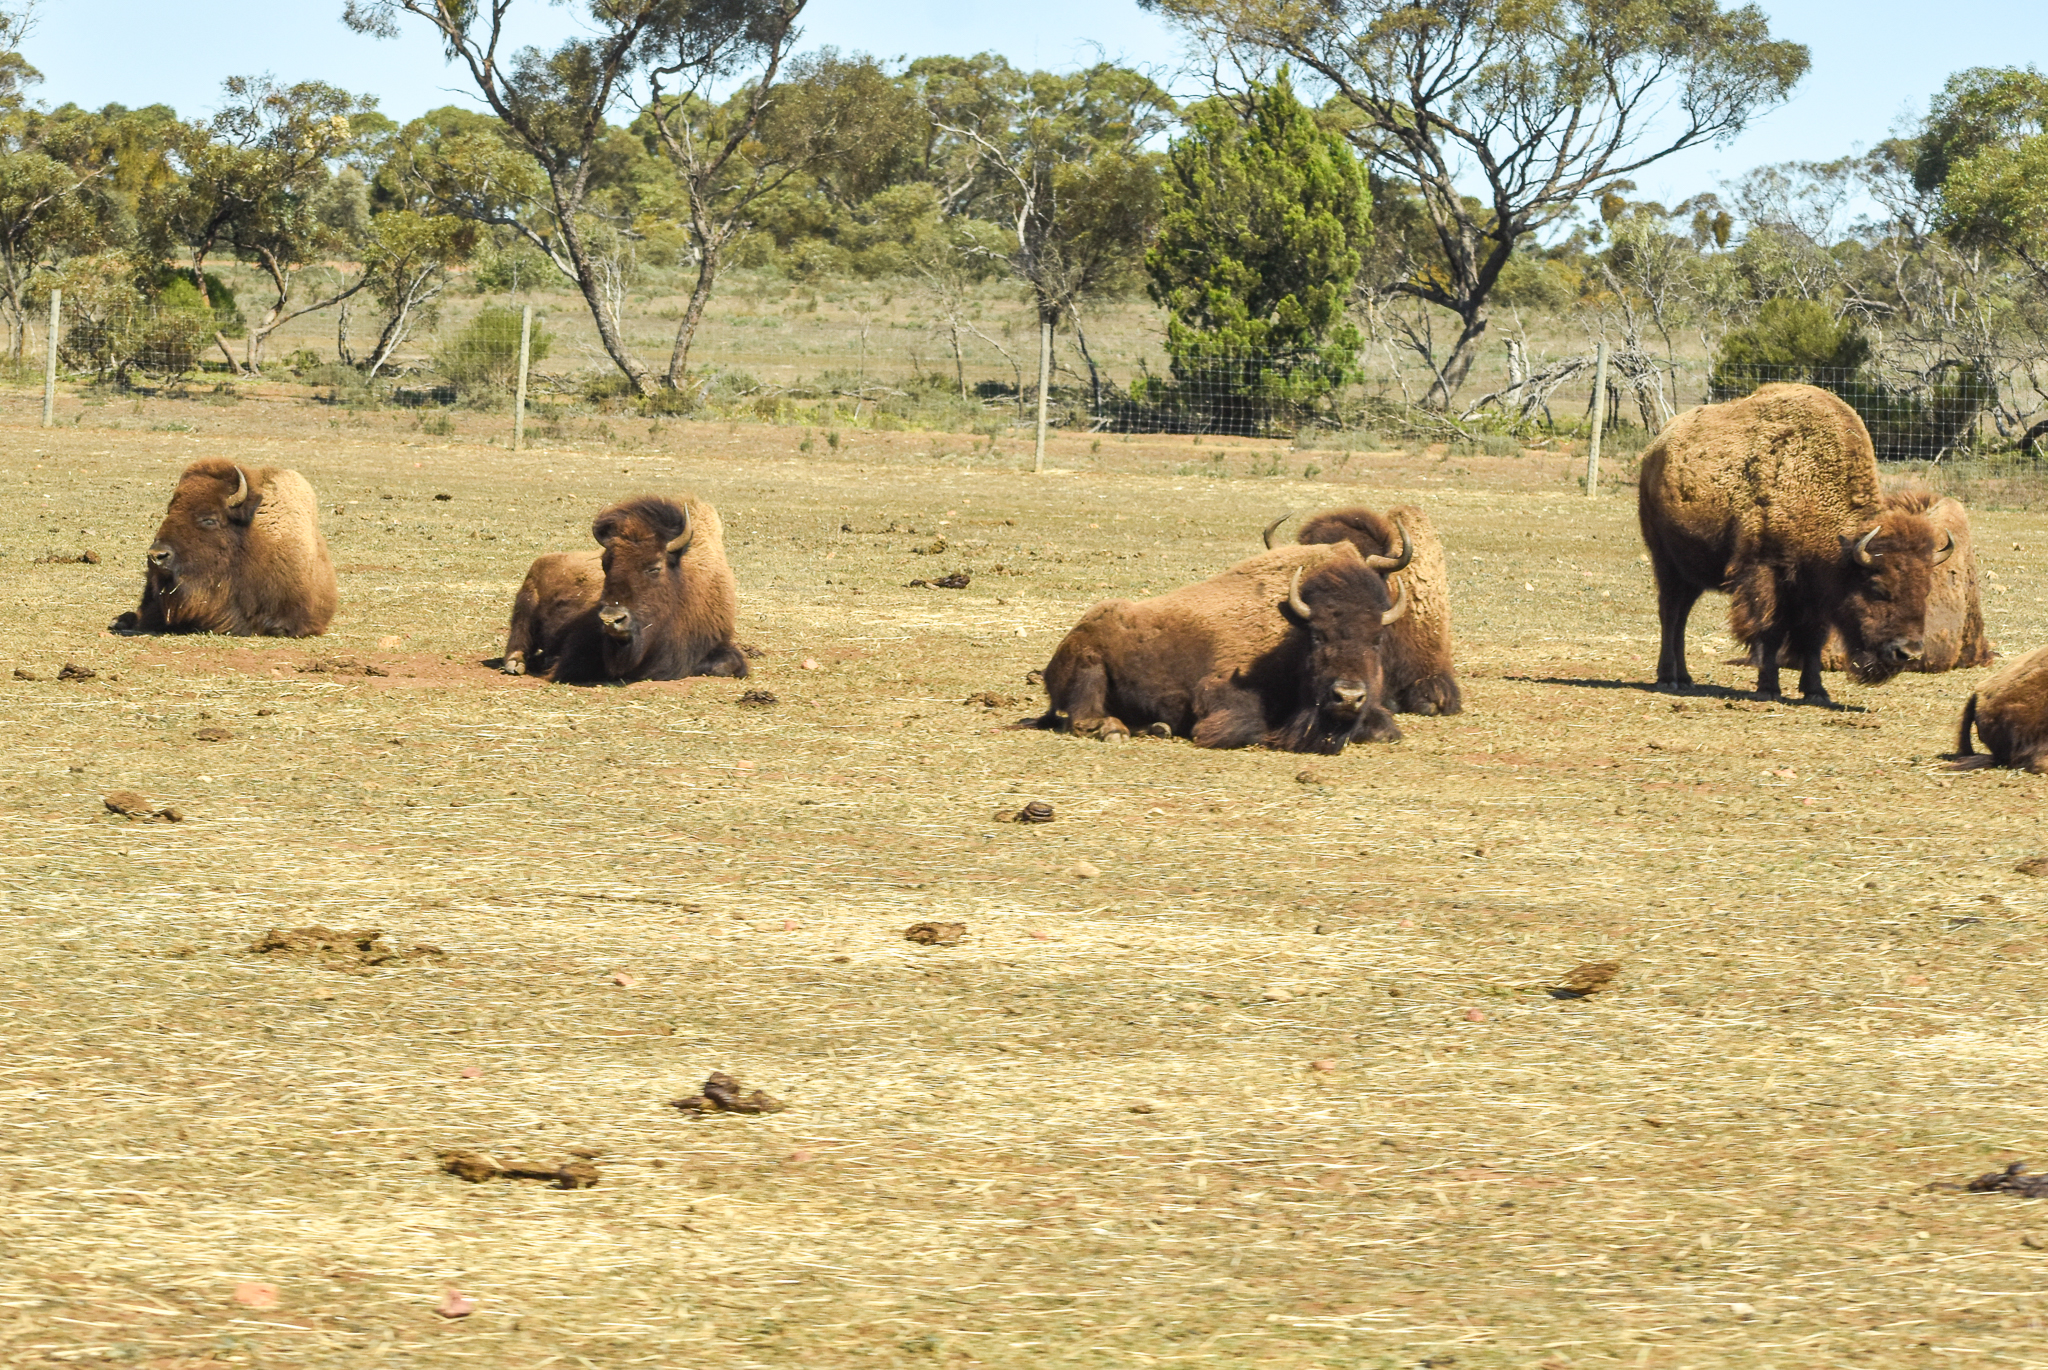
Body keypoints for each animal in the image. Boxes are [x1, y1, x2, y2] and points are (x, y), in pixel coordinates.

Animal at [502, 494, 747, 683]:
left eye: (654, 567)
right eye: (605, 563)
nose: (612, 620)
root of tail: (542, 560)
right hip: (525, 607)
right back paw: (517, 664)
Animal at [1032, 542, 1410, 753]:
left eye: (1376, 639)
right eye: (1317, 636)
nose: (1348, 697)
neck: (1291, 632)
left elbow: (1388, 730)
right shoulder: (1219, 693)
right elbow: (1247, 728)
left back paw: (1157, 728)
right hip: (1090, 667)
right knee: (1083, 718)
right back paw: (1115, 731)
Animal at [1638, 383, 1953, 701]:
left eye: (1926, 590)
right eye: (1877, 588)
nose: (1908, 653)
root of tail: (1655, 449)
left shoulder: (1816, 591)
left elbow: (1814, 638)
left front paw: (1816, 691)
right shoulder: (1766, 575)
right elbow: (1770, 631)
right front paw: (1768, 687)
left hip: (1693, 573)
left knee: (1681, 617)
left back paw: (1685, 677)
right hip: (1666, 563)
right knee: (1670, 613)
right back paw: (1668, 678)